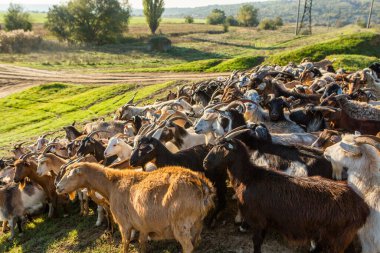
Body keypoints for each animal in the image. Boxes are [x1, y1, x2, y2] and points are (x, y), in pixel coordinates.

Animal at [56, 163, 217, 252]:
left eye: (70, 175)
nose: (57, 187)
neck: (111, 185)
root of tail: (203, 186)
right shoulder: (143, 225)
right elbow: (142, 243)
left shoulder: (124, 224)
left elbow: (125, 244)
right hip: (197, 223)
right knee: (196, 242)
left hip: (180, 223)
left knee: (188, 247)